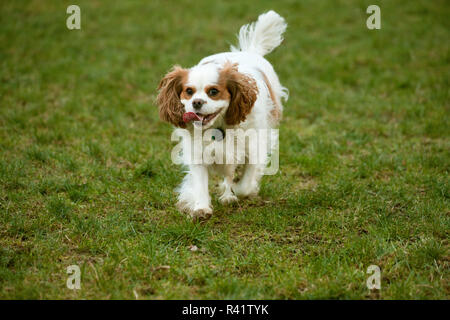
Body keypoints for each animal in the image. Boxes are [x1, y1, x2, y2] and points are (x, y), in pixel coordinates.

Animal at [155, 10, 288, 220]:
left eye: (213, 92)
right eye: (189, 91)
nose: (197, 102)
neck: (219, 127)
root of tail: (248, 52)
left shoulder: (254, 147)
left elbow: (245, 184)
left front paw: (235, 191)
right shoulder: (198, 153)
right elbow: (200, 182)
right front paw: (201, 208)